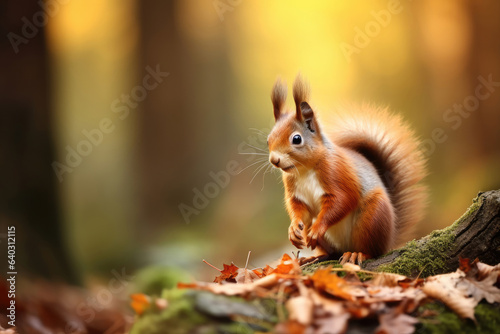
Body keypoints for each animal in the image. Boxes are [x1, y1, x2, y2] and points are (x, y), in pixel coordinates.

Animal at [268, 75, 428, 264]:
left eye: (297, 139)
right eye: (269, 139)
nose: (274, 160)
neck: (305, 170)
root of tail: (389, 239)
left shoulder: (337, 172)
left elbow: (343, 200)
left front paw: (317, 228)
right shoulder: (294, 190)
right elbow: (299, 209)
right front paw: (293, 229)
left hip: (372, 218)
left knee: (371, 250)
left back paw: (357, 254)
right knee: (332, 252)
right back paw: (315, 257)